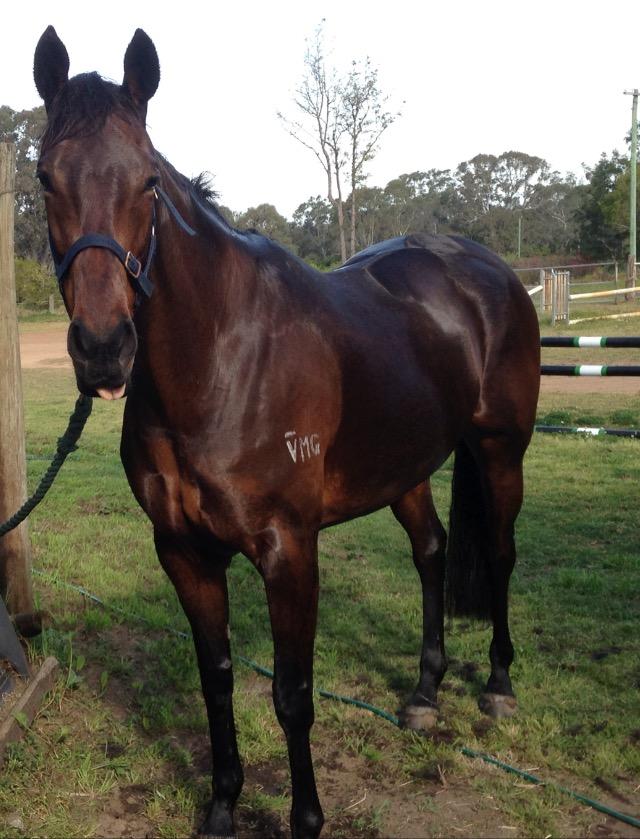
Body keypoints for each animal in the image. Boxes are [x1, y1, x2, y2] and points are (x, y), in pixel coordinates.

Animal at [33, 26, 540, 838]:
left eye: (148, 182)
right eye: (46, 178)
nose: (104, 348)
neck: (219, 364)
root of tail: (485, 267)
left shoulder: (289, 551)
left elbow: (292, 696)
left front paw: (305, 818)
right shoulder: (183, 552)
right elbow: (216, 680)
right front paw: (220, 806)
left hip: (500, 452)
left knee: (497, 552)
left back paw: (496, 685)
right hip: (404, 467)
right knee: (431, 552)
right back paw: (424, 696)